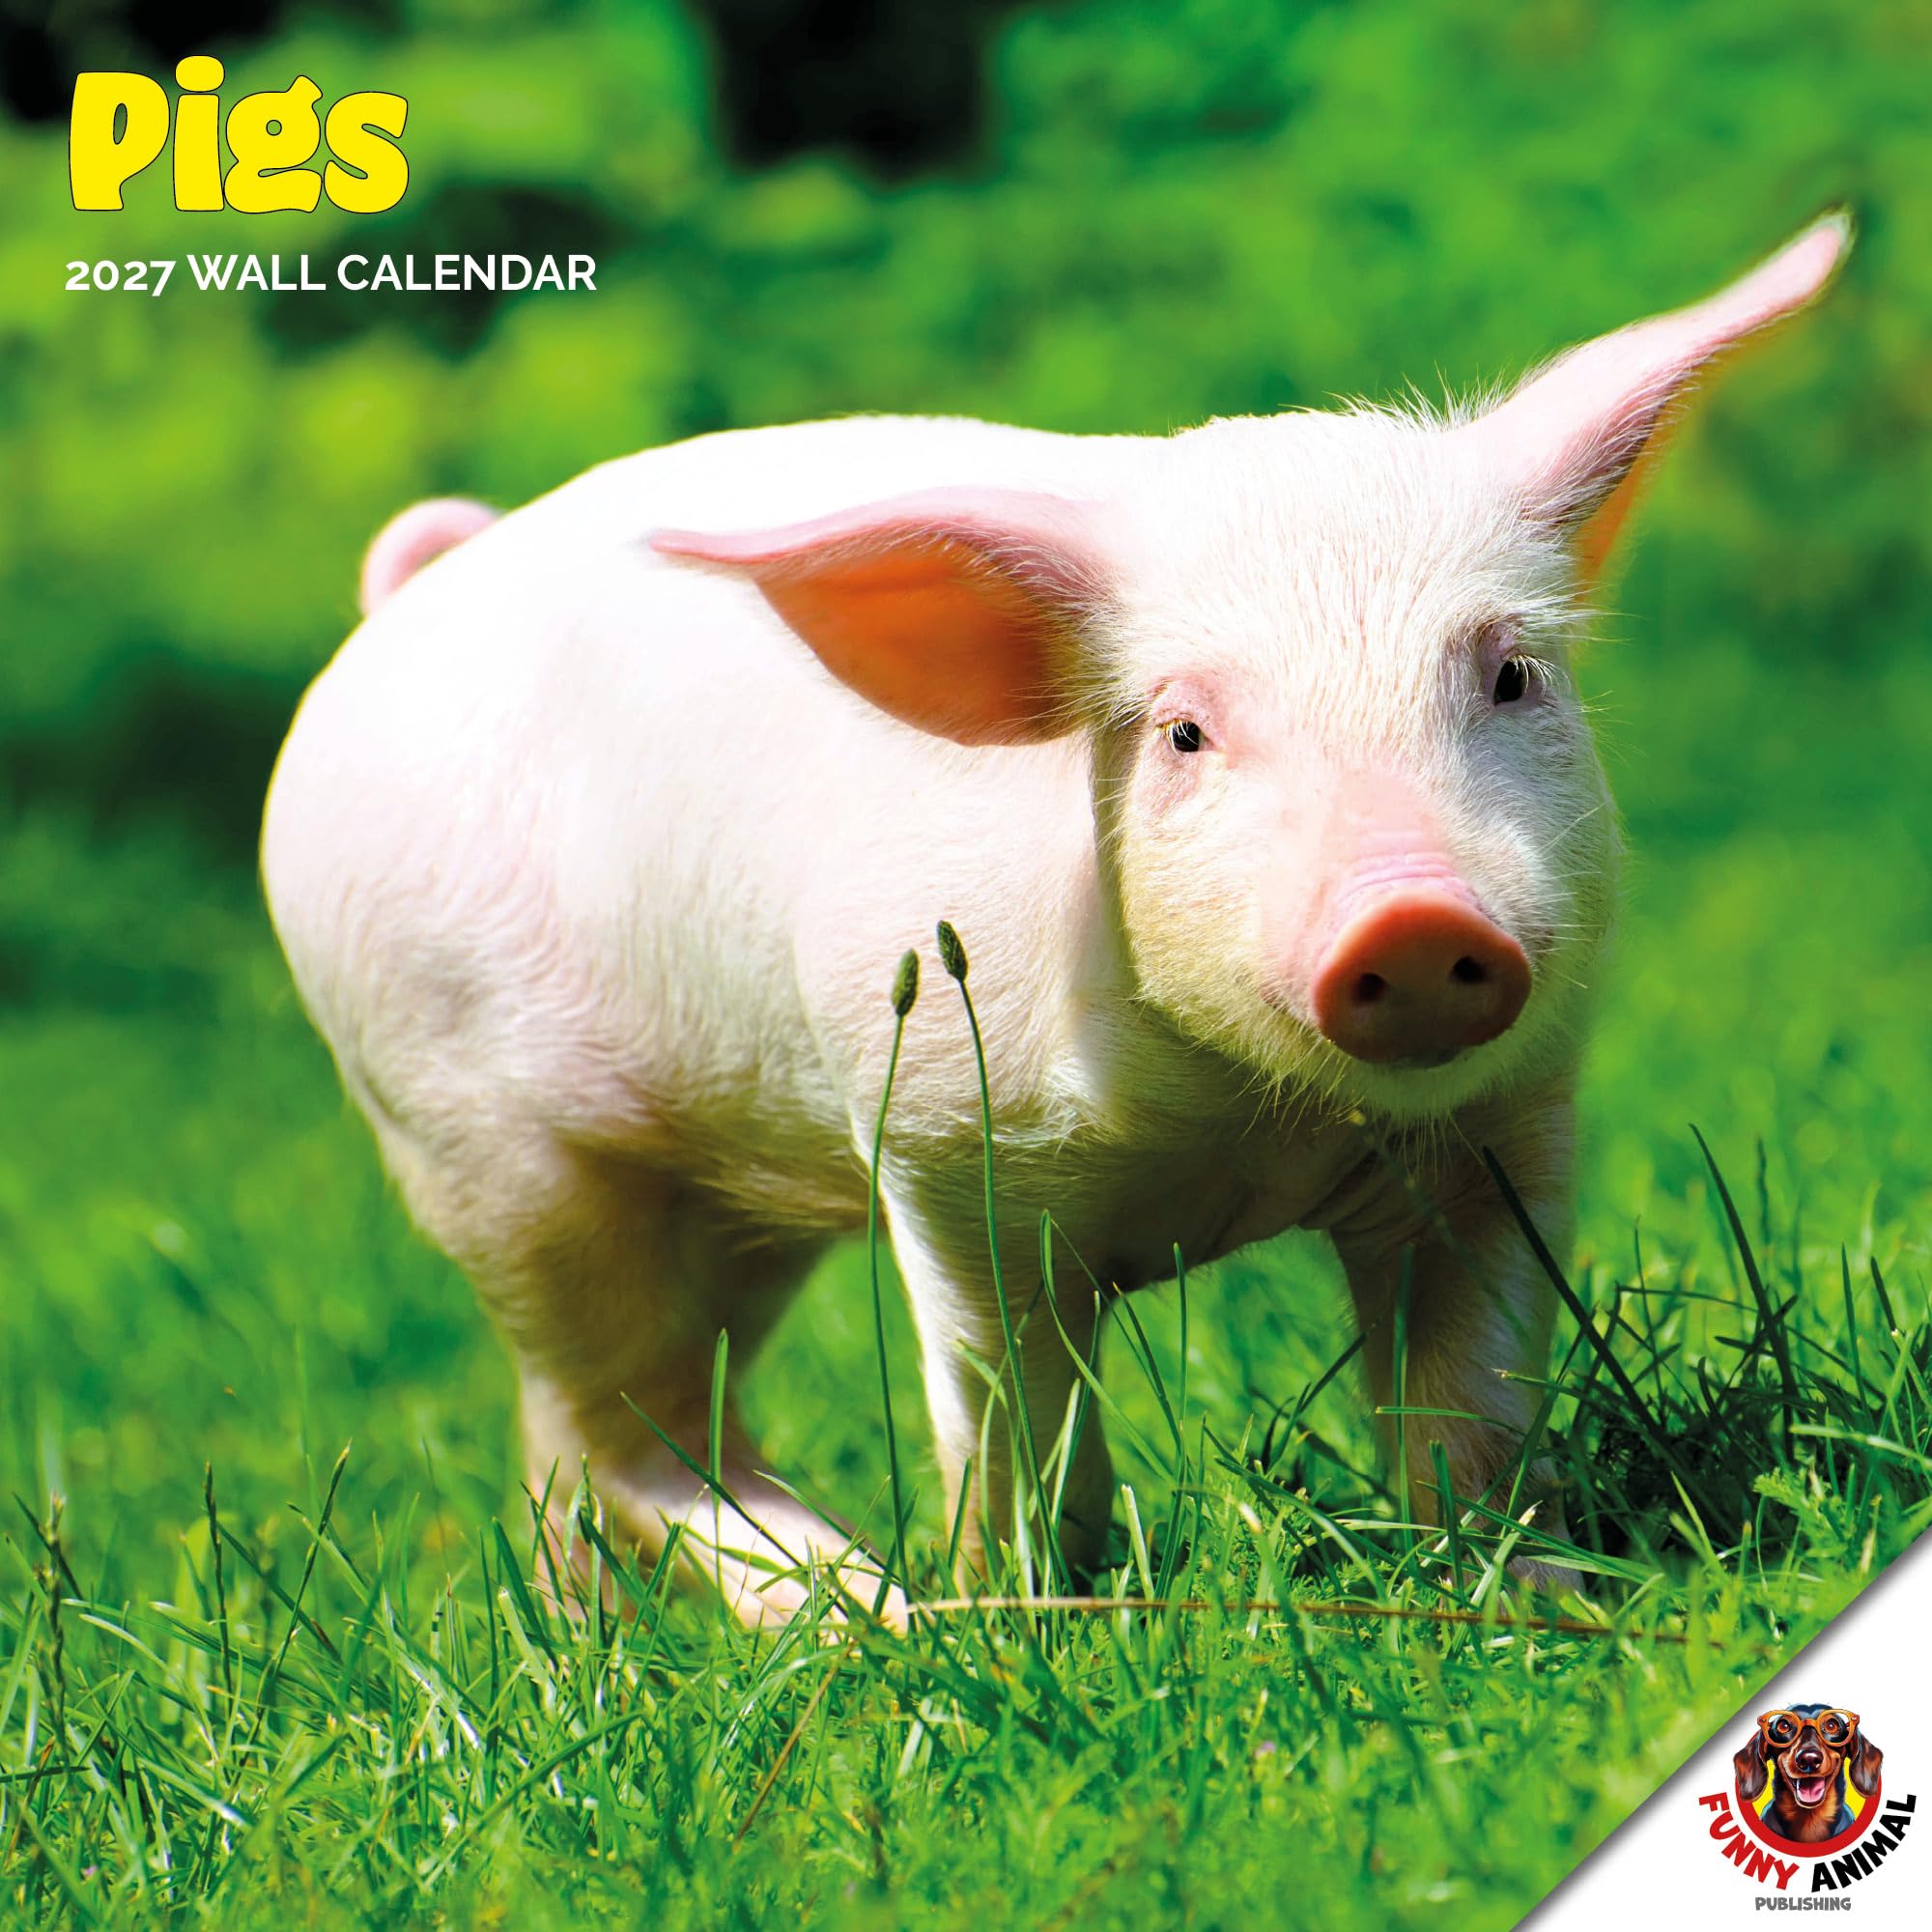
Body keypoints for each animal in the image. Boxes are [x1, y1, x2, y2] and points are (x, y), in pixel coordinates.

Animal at [262, 216, 1848, 1622]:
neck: (1239, 1132)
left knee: (581, 1434)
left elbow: (1469, 1410)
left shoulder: (1505, 1126)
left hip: (709, 1204)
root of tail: (408, 591)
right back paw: (869, 1613)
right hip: (480, 1138)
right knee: (632, 1431)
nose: (1405, 918)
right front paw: (1027, 1611)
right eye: (1184, 731)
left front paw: (1540, 1596)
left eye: (1511, 675)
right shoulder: (943, 1146)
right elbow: (1014, 1422)